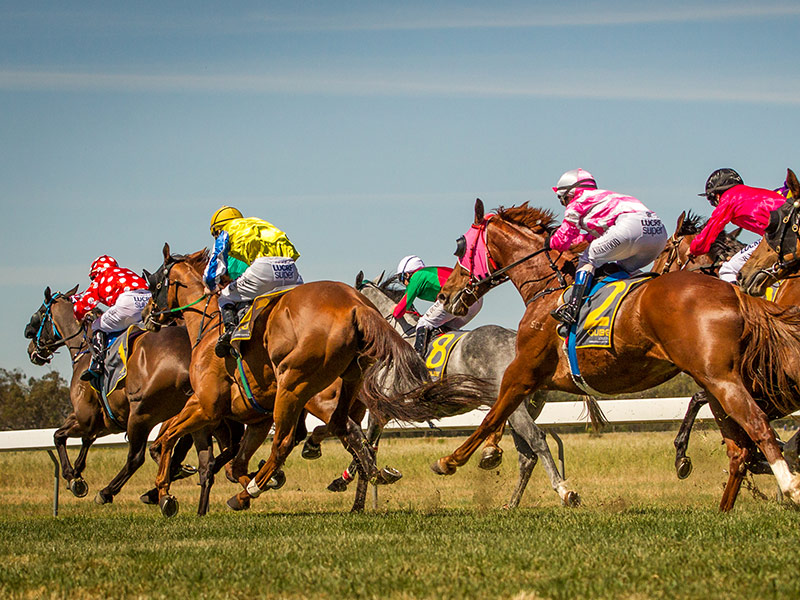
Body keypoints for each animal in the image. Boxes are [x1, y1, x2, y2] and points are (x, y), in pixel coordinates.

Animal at [22, 286, 241, 506]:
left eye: (40, 314)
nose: (31, 347)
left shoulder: (87, 418)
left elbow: (59, 436)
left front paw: (72, 477)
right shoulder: (104, 422)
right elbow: (84, 440)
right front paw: (77, 471)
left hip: (143, 414)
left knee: (138, 457)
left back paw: (110, 492)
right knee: (216, 454)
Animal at [145, 244, 494, 516]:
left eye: (154, 281)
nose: (150, 316)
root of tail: (355, 306)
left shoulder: (206, 405)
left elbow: (168, 436)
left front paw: (164, 492)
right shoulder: (254, 417)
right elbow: (233, 464)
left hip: (295, 386)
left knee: (290, 441)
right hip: (345, 379)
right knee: (342, 429)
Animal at [348, 274, 576, 508]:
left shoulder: (380, 410)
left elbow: (364, 447)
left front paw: (355, 488)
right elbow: (365, 447)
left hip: (516, 405)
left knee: (536, 439)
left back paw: (563, 490)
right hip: (522, 408)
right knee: (526, 456)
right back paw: (511, 501)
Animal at [432, 199, 800, 508]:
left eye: (463, 248)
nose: (446, 294)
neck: (547, 287)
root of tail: (736, 293)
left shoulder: (523, 370)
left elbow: (493, 414)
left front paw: (451, 460)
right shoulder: (536, 379)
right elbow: (504, 414)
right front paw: (490, 452)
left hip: (720, 378)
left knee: (757, 425)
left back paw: (789, 487)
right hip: (714, 381)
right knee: (739, 447)